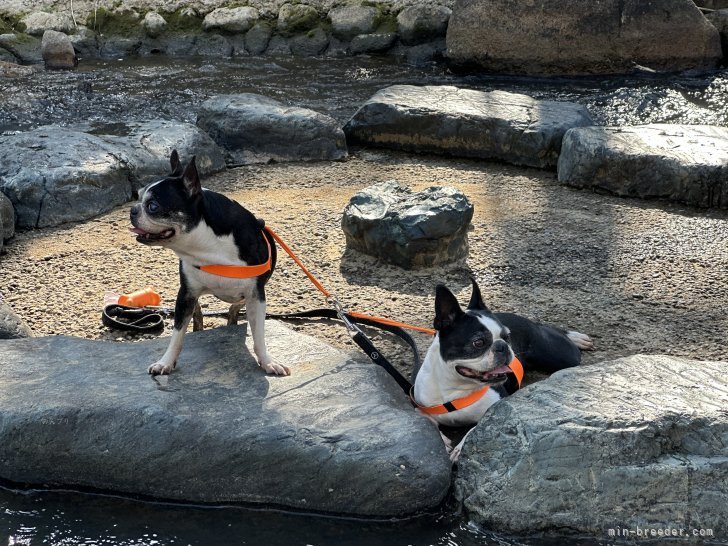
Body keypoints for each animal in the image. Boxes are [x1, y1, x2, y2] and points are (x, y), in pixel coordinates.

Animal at [128, 151, 288, 376]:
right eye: (138, 197)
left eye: (153, 206)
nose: (133, 210)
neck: (207, 247)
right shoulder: (186, 294)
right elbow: (177, 335)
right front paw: (166, 362)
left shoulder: (256, 296)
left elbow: (259, 336)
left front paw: (267, 362)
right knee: (198, 314)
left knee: (234, 309)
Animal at [412, 278, 596, 452]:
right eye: (478, 342)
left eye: (507, 337)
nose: (503, 346)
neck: (457, 390)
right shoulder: (420, 404)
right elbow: (425, 419)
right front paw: (443, 442)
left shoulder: (497, 408)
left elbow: (476, 428)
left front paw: (459, 449)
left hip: (561, 355)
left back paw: (575, 337)